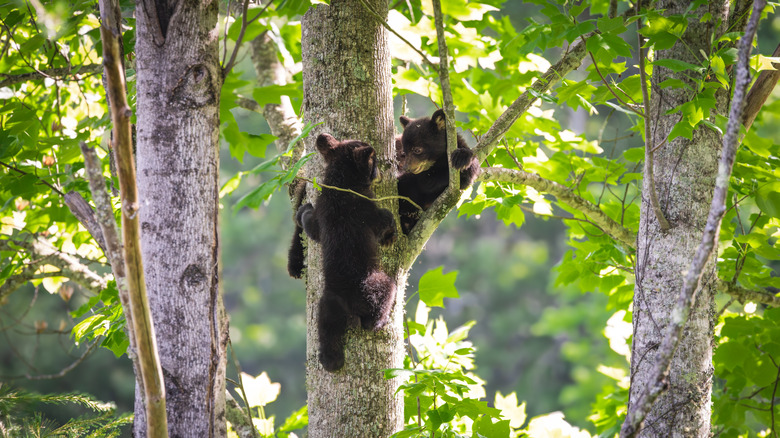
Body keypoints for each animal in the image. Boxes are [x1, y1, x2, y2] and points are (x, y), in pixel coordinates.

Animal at [288, 133, 397, 371]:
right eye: (374, 162)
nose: (379, 173)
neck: (340, 182)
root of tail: (345, 302)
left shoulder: (323, 213)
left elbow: (313, 227)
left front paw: (304, 210)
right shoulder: (365, 209)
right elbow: (383, 219)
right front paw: (390, 232)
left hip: (326, 307)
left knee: (326, 331)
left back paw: (330, 360)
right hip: (373, 285)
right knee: (384, 295)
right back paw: (378, 321)